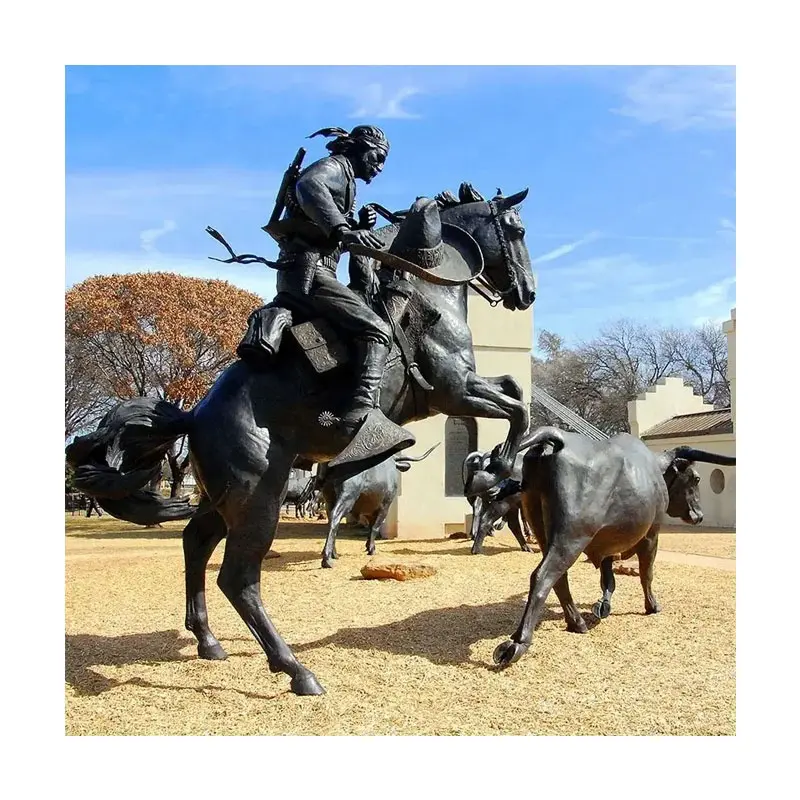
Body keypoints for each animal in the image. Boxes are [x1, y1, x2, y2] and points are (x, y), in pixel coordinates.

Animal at [65, 181, 536, 692]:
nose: (527, 293)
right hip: (259, 499)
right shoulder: (454, 390)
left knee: (195, 543)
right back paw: (294, 668)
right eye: (518, 230)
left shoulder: (465, 387)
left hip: (225, 499)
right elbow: (517, 407)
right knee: (237, 578)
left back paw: (208, 641)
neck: (425, 289)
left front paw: (502, 459)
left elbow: (514, 389)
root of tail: (196, 416)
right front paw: (503, 461)